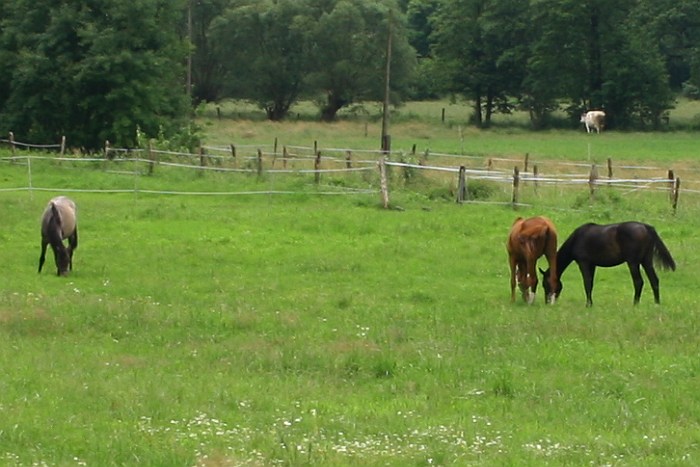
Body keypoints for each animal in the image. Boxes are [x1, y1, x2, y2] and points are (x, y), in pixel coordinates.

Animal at [540, 221, 675, 306]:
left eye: (545, 284)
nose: (547, 301)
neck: (576, 239)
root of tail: (646, 227)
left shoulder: (584, 263)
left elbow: (587, 283)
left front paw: (588, 304)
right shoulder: (592, 265)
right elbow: (591, 283)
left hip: (633, 262)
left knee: (638, 282)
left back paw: (635, 304)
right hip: (646, 261)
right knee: (654, 280)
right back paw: (656, 303)